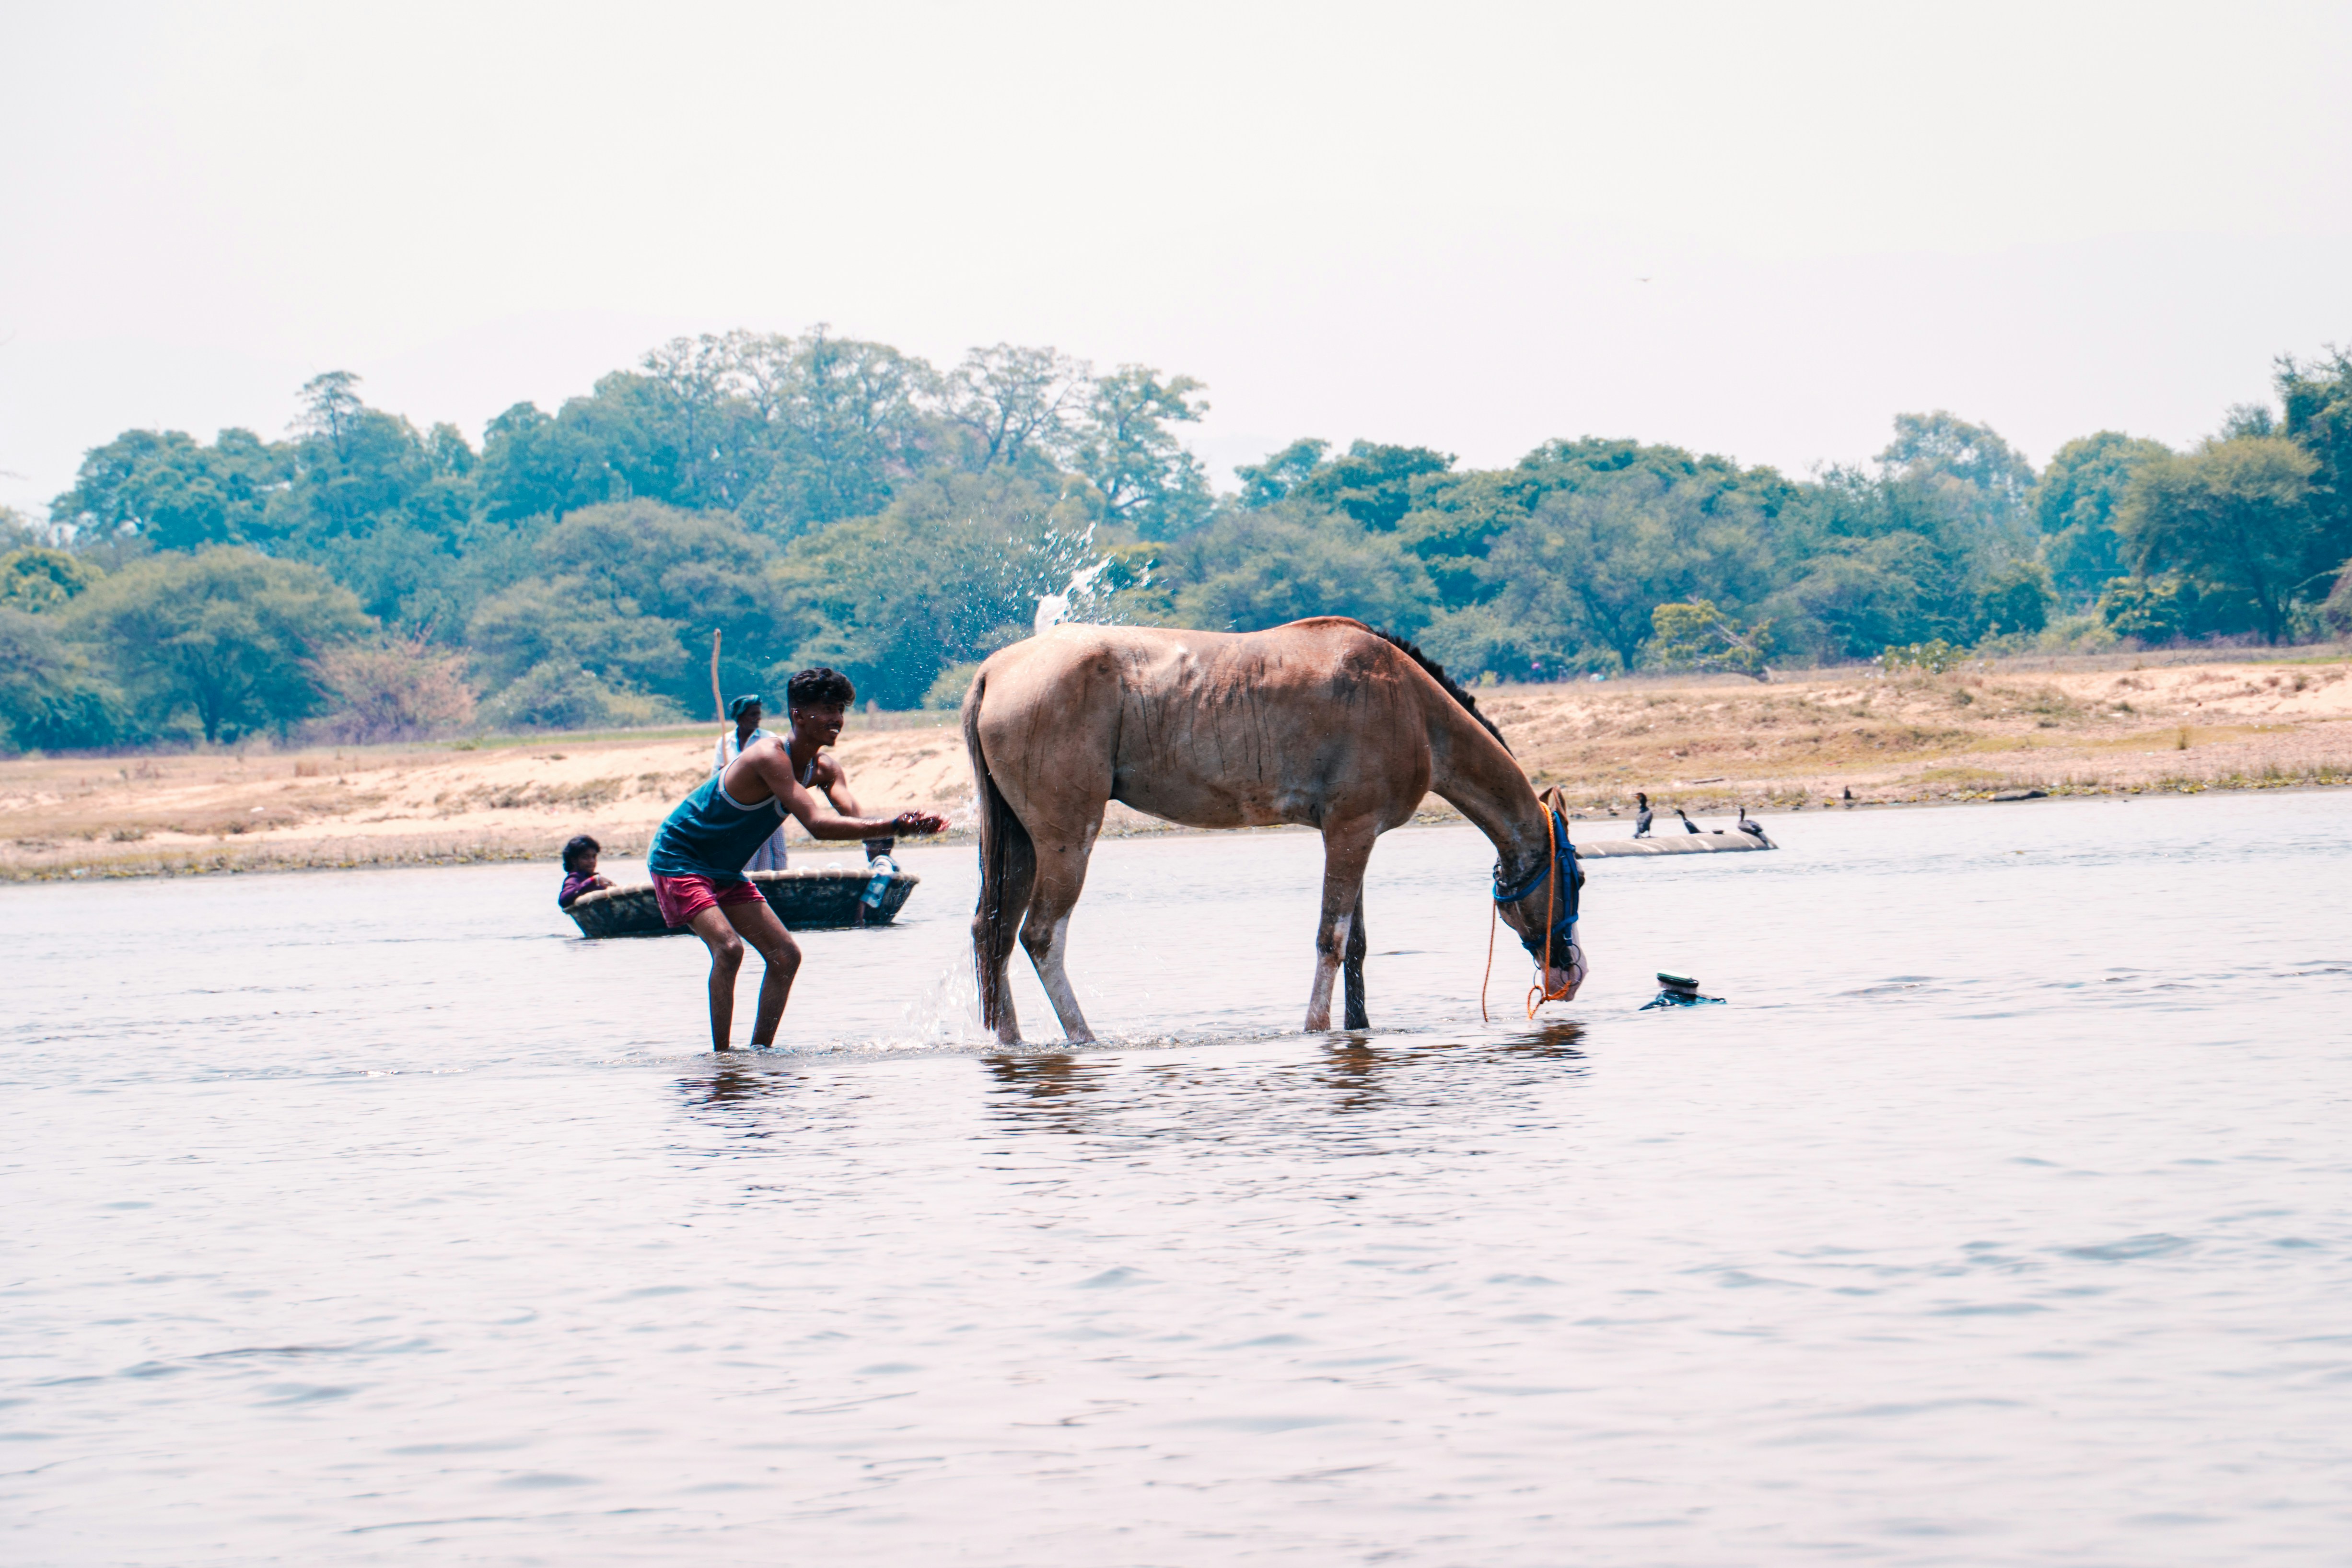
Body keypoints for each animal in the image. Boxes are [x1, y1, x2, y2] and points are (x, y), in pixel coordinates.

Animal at [960, 617, 1586, 1042]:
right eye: (1576, 880)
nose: (1571, 970)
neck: (1412, 705)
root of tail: (993, 672)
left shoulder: (1357, 833)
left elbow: (1356, 946)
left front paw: (1357, 1028)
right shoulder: (1350, 831)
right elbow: (1331, 940)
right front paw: (1315, 1027)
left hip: (1020, 842)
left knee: (992, 932)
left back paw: (1008, 1040)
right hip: (1066, 840)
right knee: (1040, 936)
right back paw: (1083, 1037)